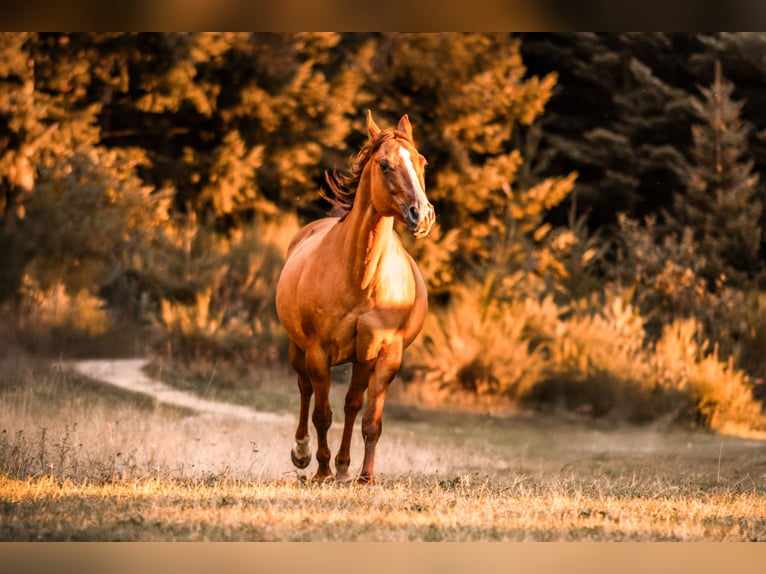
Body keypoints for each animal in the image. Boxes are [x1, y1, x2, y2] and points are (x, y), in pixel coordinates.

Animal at [275, 110, 435, 484]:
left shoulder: (386, 355)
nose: (422, 214)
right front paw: (321, 471)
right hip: (298, 349)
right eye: (385, 165)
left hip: (362, 361)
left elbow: (370, 420)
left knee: (351, 404)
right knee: (305, 390)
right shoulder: (318, 353)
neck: (361, 279)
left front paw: (365, 478)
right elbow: (322, 414)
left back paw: (345, 467)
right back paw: (304, 455)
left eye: (421, 161)